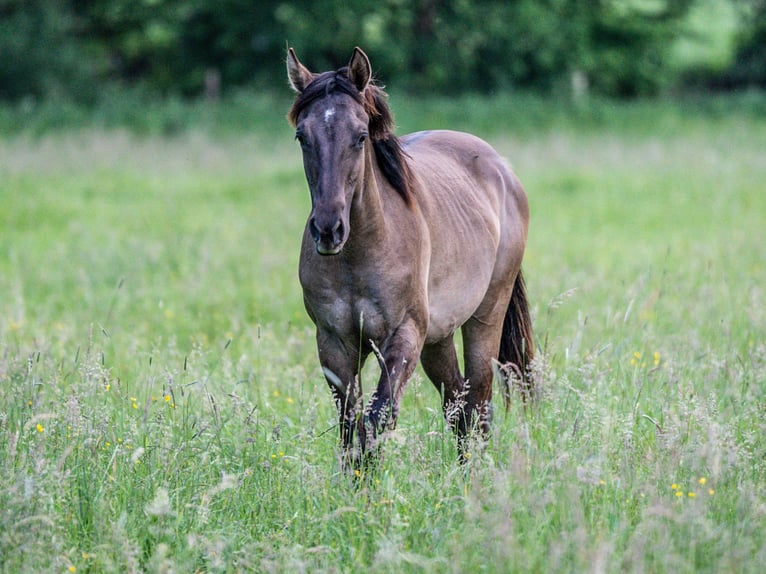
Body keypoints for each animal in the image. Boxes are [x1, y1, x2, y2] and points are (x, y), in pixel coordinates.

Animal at [286, 46, 536, 468]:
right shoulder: (335, 343)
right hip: (438, 336)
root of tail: (502, 169)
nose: (328, 229)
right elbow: (350, 428)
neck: (361, 251)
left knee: (479, 402)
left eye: (361, 136)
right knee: (458, 405)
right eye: (302, 136)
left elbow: (377, 419)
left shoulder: (403, 335)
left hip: (485, 316)